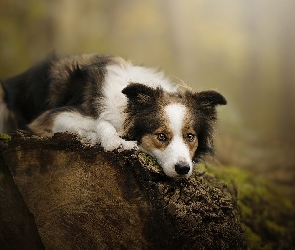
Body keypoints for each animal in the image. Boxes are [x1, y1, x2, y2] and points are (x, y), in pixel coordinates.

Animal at [0, 53, 227, 178]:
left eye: (190, 136)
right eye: (161, 136)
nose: (183, 169)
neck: (127, 104)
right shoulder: (49, 118)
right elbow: (101, 123)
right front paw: (113, 141)